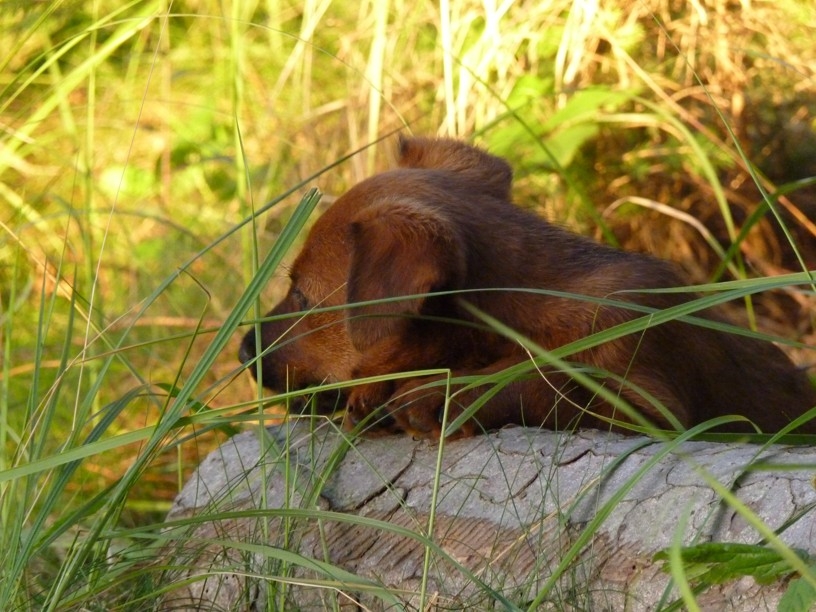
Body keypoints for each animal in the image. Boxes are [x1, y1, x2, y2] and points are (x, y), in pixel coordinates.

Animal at [239, 137, 816, 438]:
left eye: (302, 297)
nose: (243, 350)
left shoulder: (648, 407)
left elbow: (542, 379)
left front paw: (441, 392)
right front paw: (379, 390)